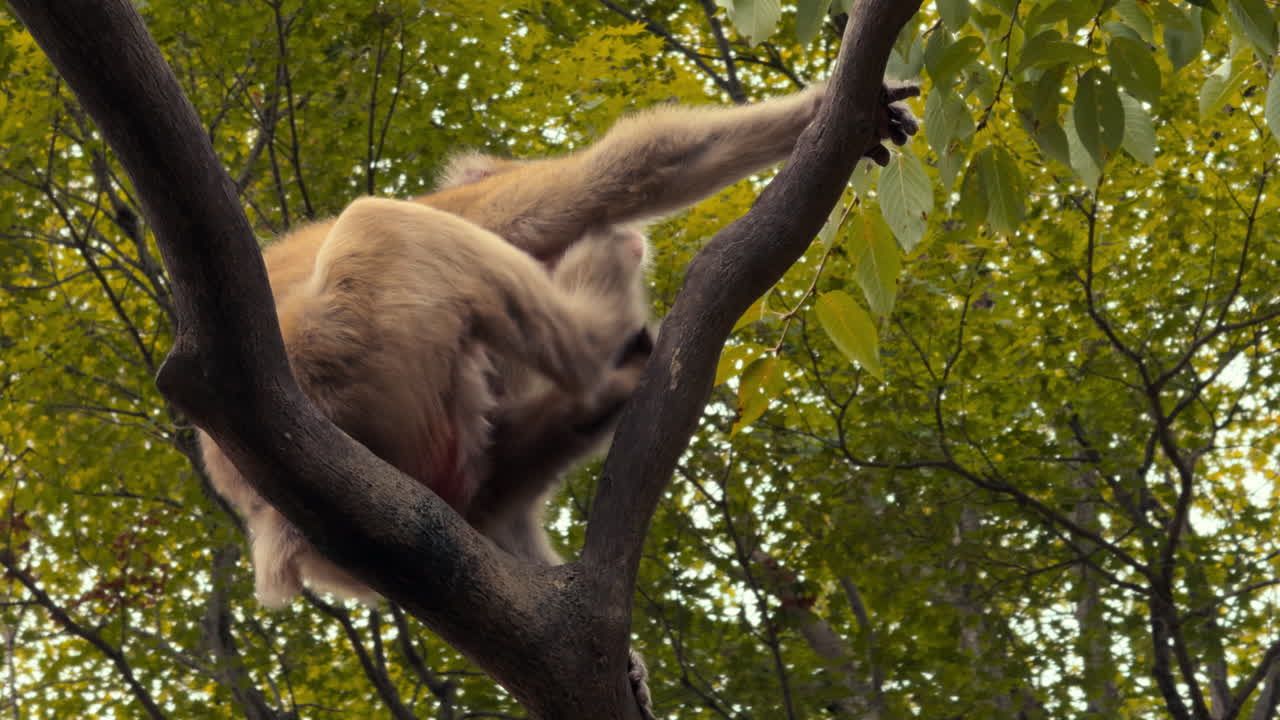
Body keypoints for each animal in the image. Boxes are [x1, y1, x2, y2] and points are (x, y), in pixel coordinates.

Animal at [198, 79, 920, 607]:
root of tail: (268, 519)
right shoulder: (481, 211)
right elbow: (612, 176)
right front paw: (820, 109)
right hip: (350, 363)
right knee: (385, 225)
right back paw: (601, 316)